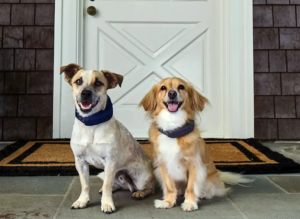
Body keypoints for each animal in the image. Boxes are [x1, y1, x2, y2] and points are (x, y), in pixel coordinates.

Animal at [60, 63, 155, 214]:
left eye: (98, 83)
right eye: (78, 81)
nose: (85, 93)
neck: (91, 124)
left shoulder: (110, 161)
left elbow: (107, 186)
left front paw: (107, 204)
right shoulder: (80, 162)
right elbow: (85, 184)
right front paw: (82, 201)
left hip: (140, 178)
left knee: (150, 188)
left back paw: (140, 193)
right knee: (115, 185)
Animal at [139, 77, 251, 212]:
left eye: (181, 87)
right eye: (163, 88)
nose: (172, 93)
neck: (173, 127)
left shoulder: (194, 165)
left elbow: (191, 188)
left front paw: (190, 203)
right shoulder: (163, 165)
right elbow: (169, 186)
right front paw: (168, 201)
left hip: (209, 177)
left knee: (213, 189)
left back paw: (204, 193)